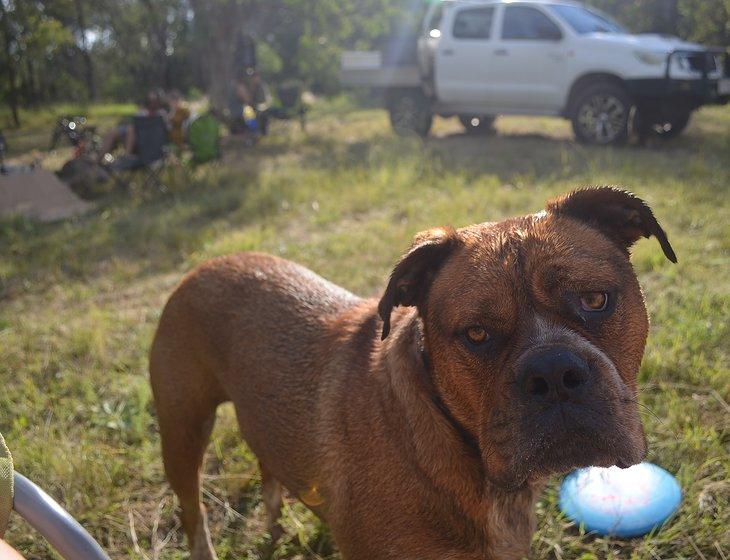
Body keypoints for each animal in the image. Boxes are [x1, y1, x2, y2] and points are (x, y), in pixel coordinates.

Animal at [148, 188, 672, 560]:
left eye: (595, 299)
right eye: (476, 333)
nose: (553, 372)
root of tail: (205, 264)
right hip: (183, 433)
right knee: (193, 510)